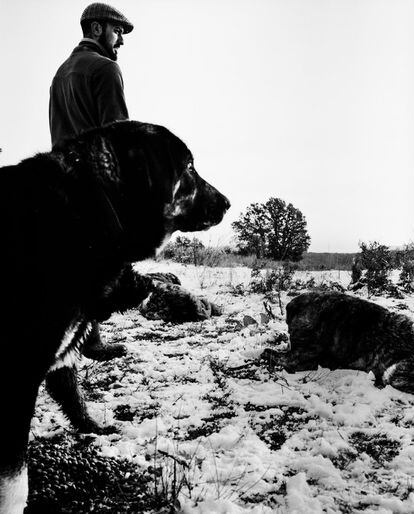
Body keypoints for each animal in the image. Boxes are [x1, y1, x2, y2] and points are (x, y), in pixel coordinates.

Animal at [0, 121, 230, 512]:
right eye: (187, 166)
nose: (227, 203)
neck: (93, 205)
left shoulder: (58, 352)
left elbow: (73, 396)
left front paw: (94, 428)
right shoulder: (21, 372)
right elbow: (15, 481)